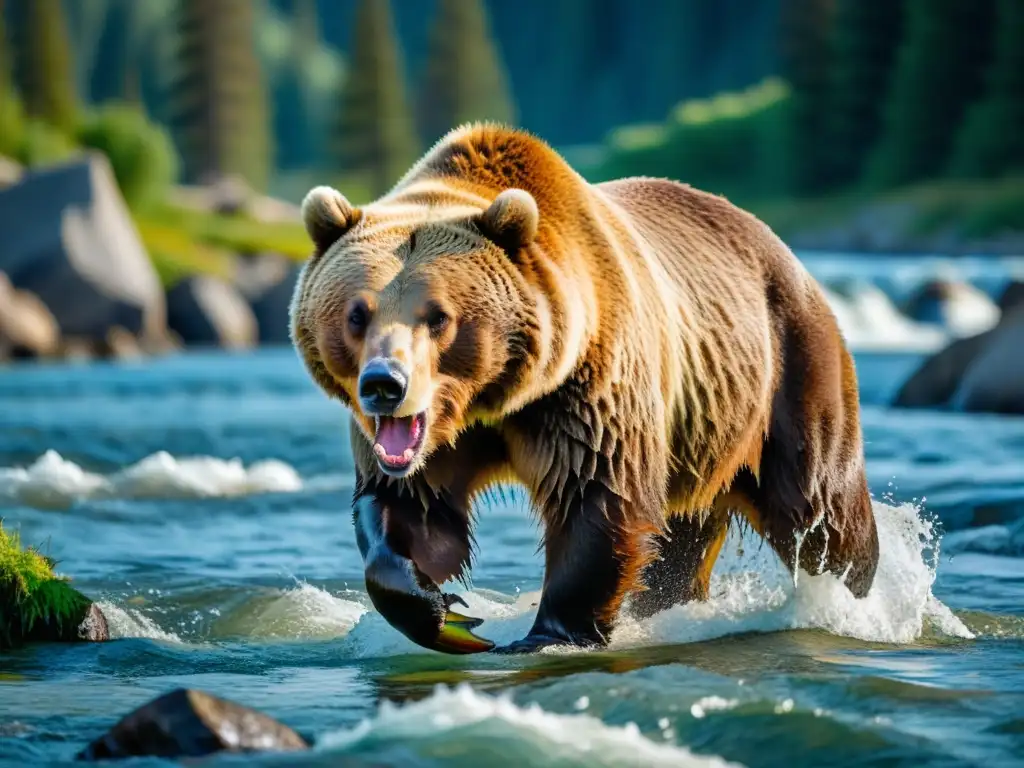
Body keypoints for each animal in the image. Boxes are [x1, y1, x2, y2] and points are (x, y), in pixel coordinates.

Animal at [288, 124, 880, 655]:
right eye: (357, 314)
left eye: (437, 316)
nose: (384, 384)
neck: (496, 396)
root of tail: (782, 250)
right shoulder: (430, 442)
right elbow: (406, 508)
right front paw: (446, 614)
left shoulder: (585, 390)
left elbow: (595, 495)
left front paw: (547, 634)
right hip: (697, 431)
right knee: (680, 539)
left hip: (789, 369)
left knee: (822, 511)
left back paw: (858, 599)